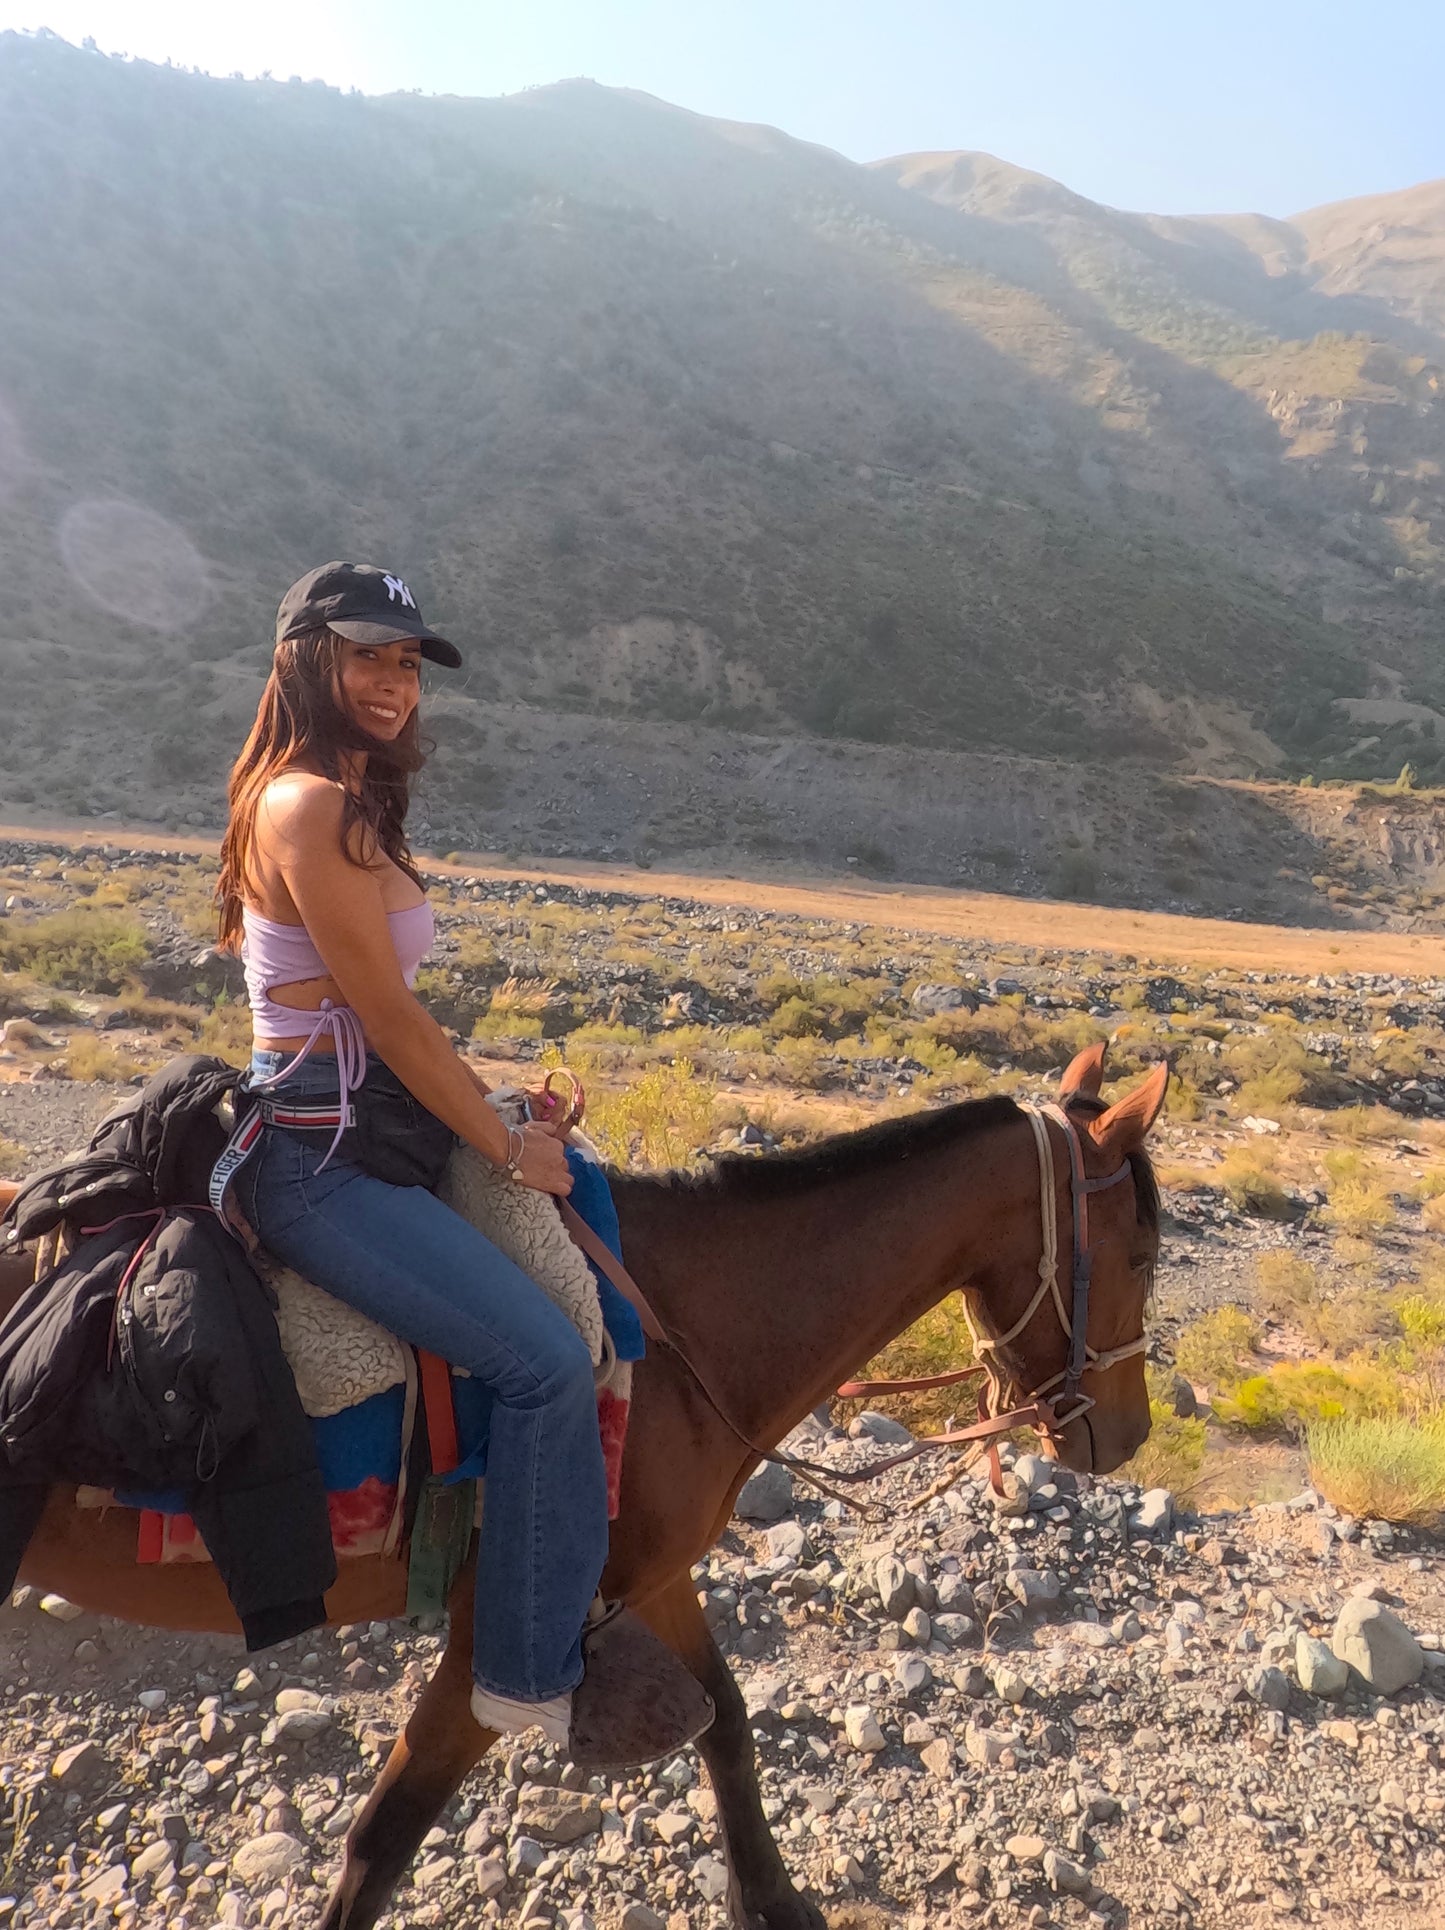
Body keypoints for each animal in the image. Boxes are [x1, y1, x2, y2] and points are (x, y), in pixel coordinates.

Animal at [0, 1042, 1165, 1930]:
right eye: (1144, 1252)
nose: (1126, 1434)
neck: (681, 1327)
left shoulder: (649, 1578)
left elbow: (726, 1721)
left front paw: (771, 1901)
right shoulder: (496, 1632)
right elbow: (382, 1839)